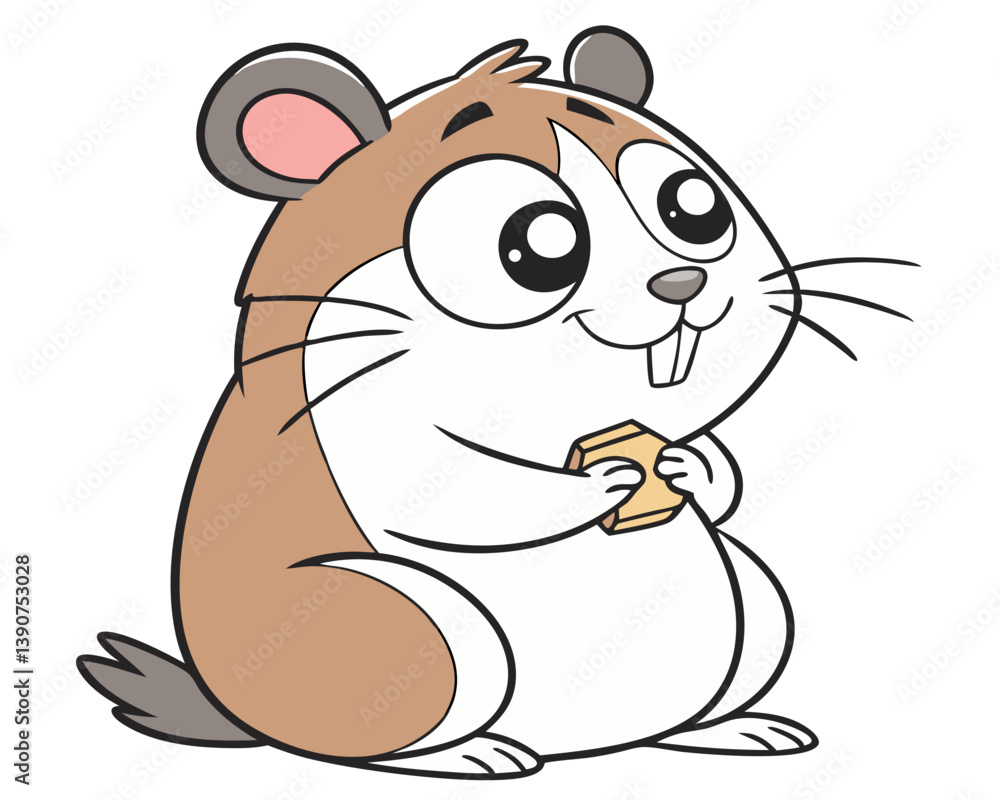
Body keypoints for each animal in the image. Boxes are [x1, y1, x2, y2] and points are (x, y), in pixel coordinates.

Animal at [80, 26, 912, 779]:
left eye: (694, 209)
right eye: (540, 245)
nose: (682, 282)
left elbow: (713, 472)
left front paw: (688, 466)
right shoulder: (368, 423)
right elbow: (469, 501)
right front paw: (601, 483)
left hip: (755, 596)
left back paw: (732, 730)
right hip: (396, 624)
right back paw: (475, 753)